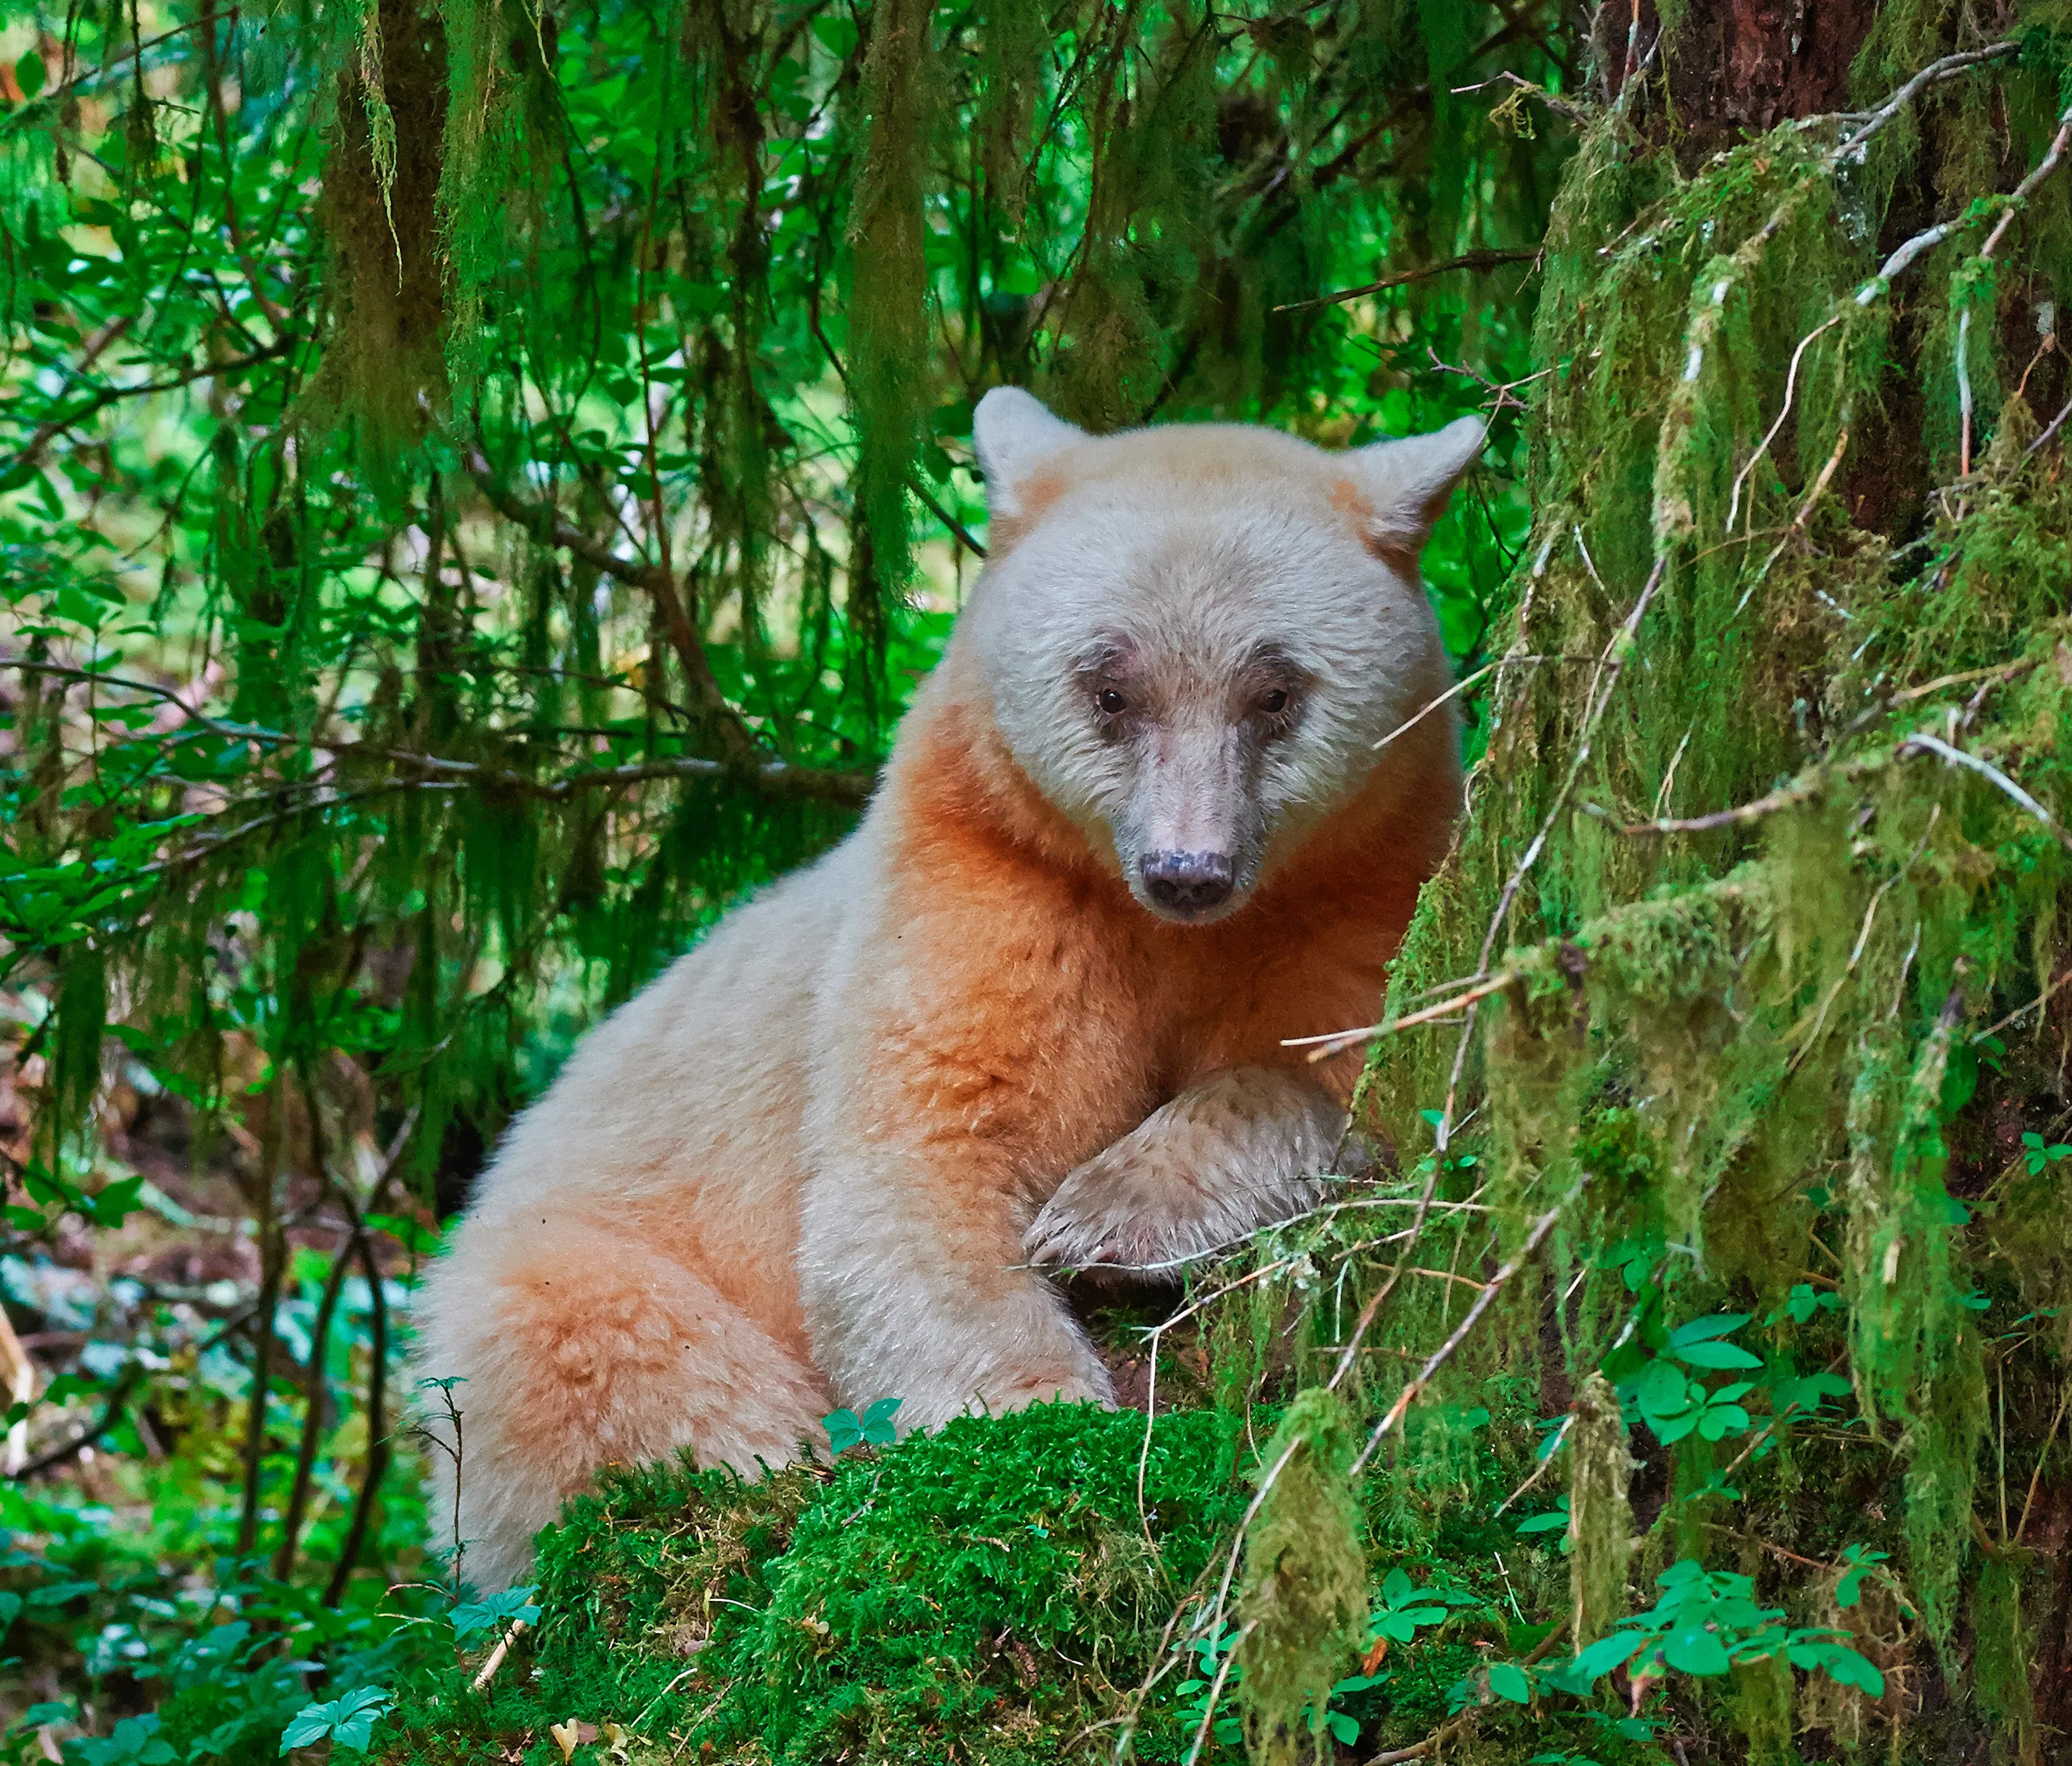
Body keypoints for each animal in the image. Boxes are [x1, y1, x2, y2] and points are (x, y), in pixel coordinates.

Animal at [411, 389, 1484, 1592]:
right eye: (1110, 688)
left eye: (1277, 693)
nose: (1188, 869)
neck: (1168, 934)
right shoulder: (982, 888)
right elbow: (922, 1160)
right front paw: (1048, 1421)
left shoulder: (1364, 883)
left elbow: (1360, 1068)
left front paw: (1119, 1209)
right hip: (552, 1287)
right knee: (619, 1361)